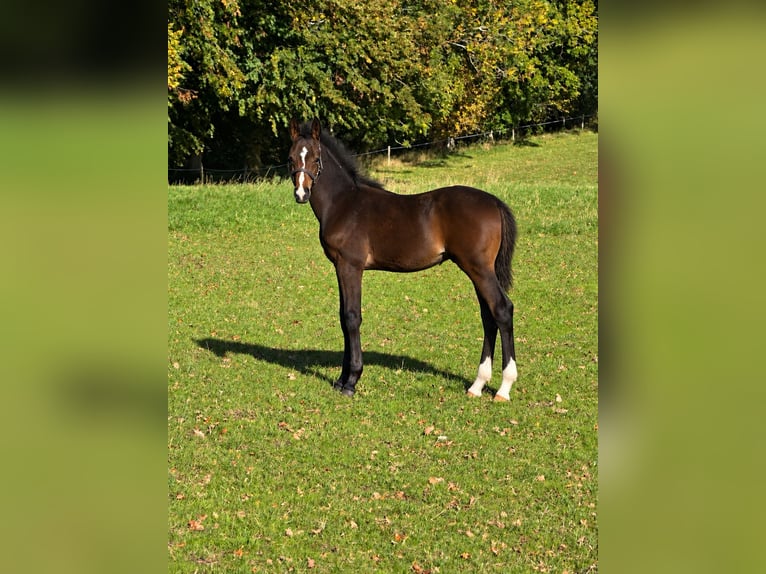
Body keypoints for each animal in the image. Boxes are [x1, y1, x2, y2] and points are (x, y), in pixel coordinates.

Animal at [287, 118, 518, 400]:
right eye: (291, 158)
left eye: (316, 158)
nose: (301, 193)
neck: (343, 203)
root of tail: (494, 202)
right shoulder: (340, 267)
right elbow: (343, 317)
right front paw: (341, 380)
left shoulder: (350, 266)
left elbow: (352, 317)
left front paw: (351, 381)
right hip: (479, 270)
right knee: (488, 315)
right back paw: (477, 385)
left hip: (479, 269)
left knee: (502, 310)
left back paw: (504, 388)